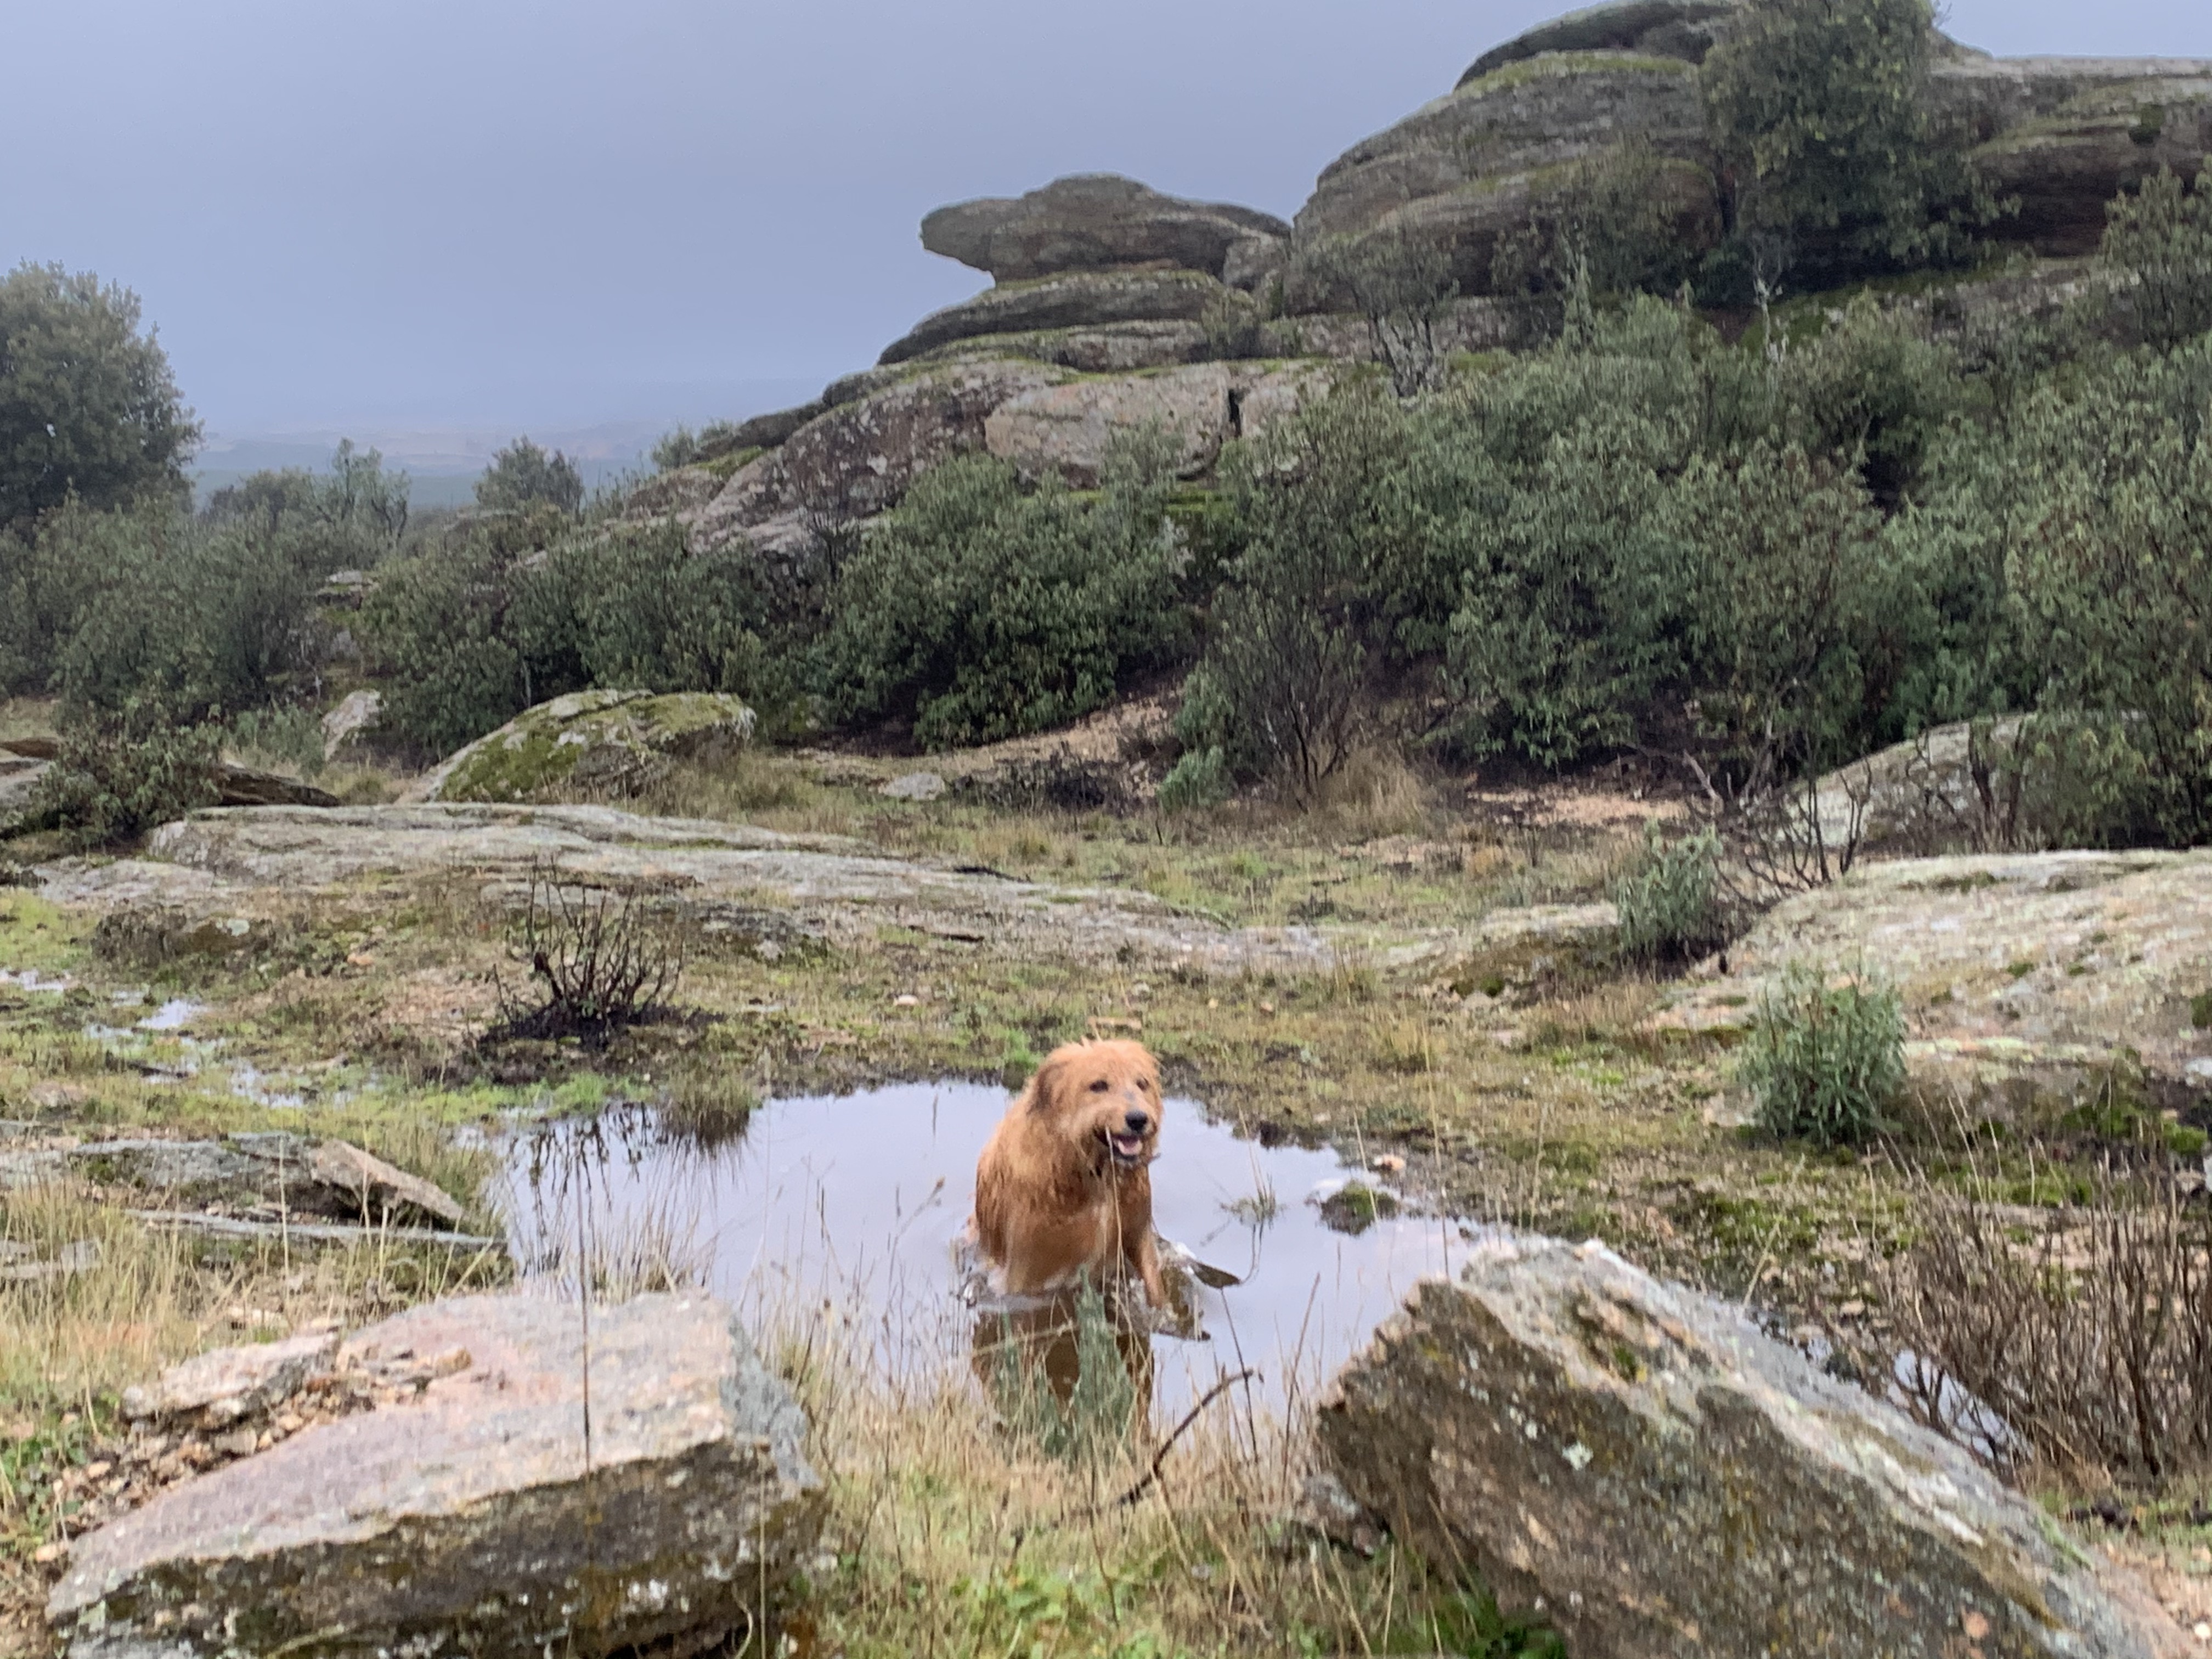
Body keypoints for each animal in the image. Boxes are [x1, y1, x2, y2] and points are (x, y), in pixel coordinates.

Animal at [973, 1040, 1167, 1309]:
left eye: (1142, 1083)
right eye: (1099, 1085)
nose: (1139, 1119)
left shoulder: (1136, 1229)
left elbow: (1153, 1283)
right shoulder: (1027, 1271)